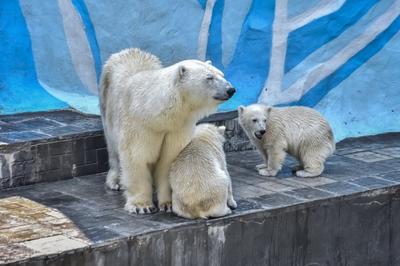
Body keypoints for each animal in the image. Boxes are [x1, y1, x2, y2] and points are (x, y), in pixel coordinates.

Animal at [99, 47, 234, 214]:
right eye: (209, 77)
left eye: (221, 74)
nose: (231, 89)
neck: (156, 113)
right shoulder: (138, 125)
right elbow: (135, 158)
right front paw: (141, 206)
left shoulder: (176, 128)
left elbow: (167, 161)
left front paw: (168, 204)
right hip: (106, 104)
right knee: (112, 148)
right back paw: (115, 181)